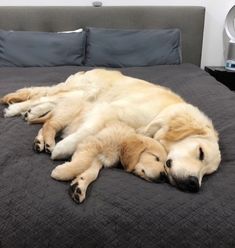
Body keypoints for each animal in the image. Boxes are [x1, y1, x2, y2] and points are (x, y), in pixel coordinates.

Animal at [0, 69, 221, 193]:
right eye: (200, 152)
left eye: (207, 173)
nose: (194, 185)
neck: (162, 114)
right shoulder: (111, 110)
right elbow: (87, 131)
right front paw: (63, 148)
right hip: (84, 93)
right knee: (41, 96)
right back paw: (15, 108)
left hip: (77, 98)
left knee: (47, 102)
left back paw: (31, 113)